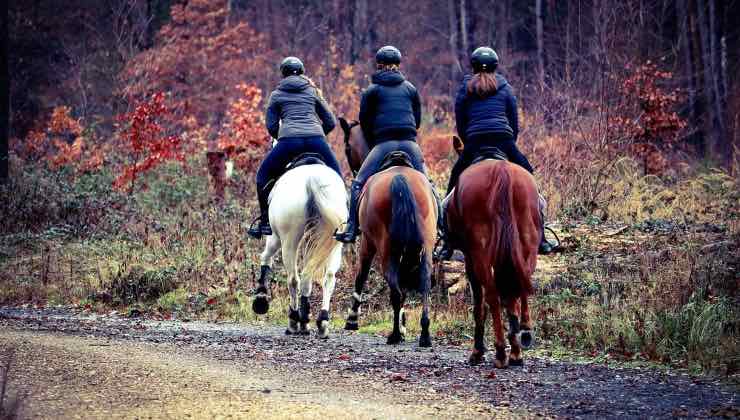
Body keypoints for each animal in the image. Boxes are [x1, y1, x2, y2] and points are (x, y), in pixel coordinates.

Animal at [251, 162, 346, 340]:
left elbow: (265, 258)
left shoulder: (274, 237)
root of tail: (311, 180)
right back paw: (321, 323)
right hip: (335, 241)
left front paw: (260, 300)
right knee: (327, 277)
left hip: (289, 240)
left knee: (293, 279)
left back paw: (294, 321)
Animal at [338, 118, 436, 348]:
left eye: (347, 147)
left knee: (395, 290)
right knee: (423, 284)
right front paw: (404, 324)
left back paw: (394, 335)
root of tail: (400, 177)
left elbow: (361, 276)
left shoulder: (367, 243)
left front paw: (352, 320)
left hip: (386, 251)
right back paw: (424, 334)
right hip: (424, 249)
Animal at [446, 135, 536, 368]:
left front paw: (478, 351)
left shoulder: (470, 258)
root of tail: (501, 170)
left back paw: (501, 353)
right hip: (527, 243)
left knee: (493, 296)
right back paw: (518, 345)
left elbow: (479, 304)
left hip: (480, 253)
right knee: (518, 287)